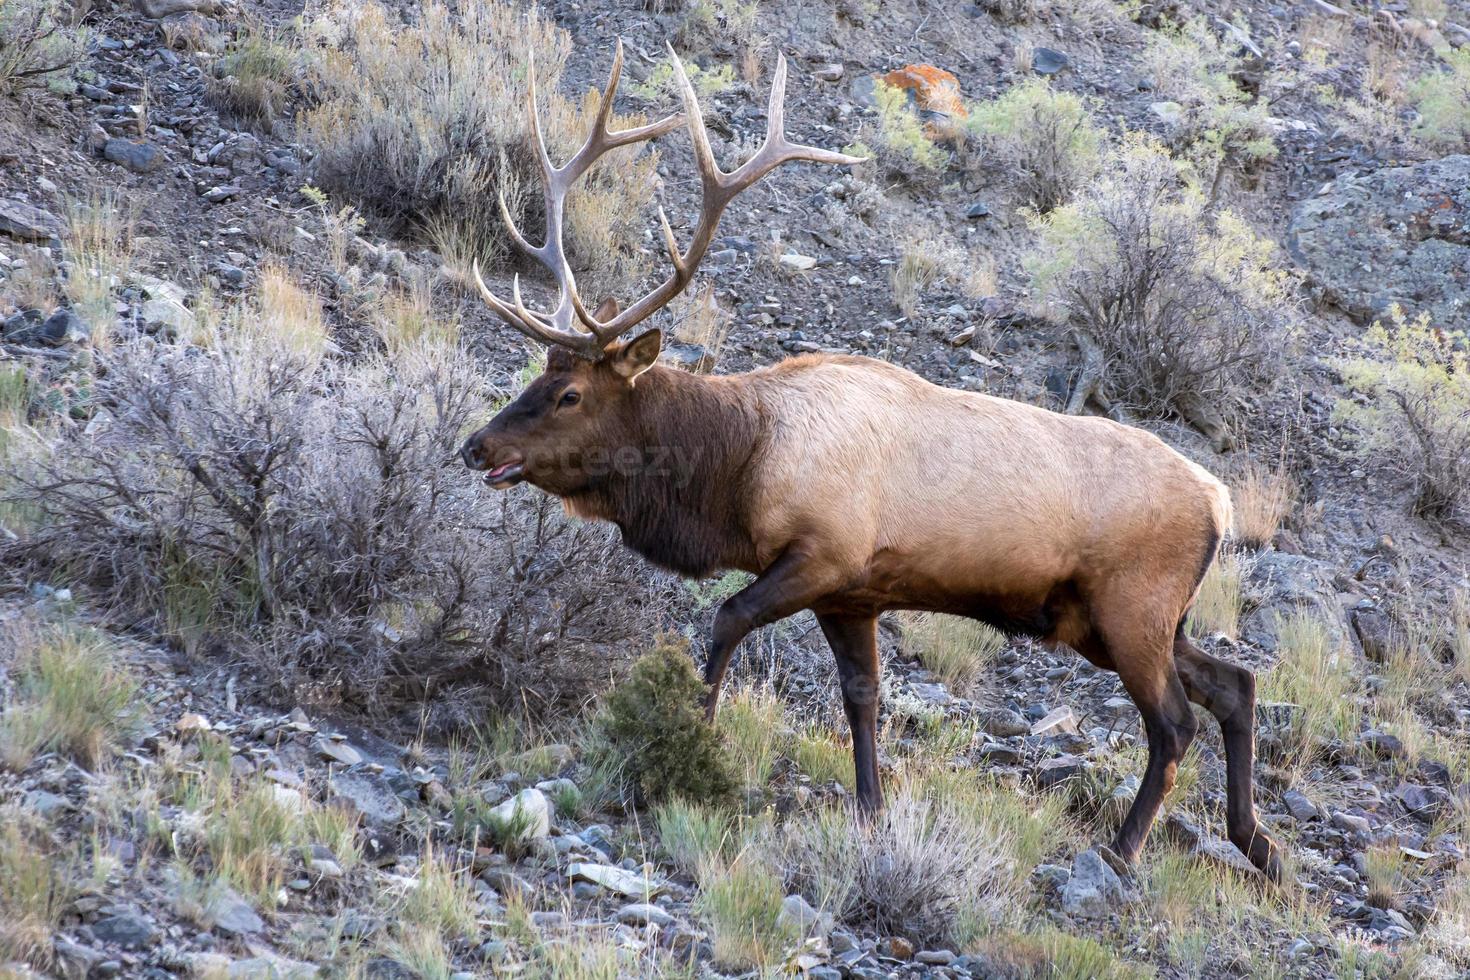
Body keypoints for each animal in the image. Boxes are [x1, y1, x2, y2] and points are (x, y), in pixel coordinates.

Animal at [458, 40, 1275, 881]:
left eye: (569, 394)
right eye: (537, 377)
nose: (476, 444)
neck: (739, 466)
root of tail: (1220, 502)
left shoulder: (822, 553)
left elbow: (725, 620)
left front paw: (687, 742)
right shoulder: (852, 595)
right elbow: (863, 698)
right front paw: (870, 810)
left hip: (1131, 607)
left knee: (1175, 723)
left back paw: (1123, 847)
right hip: (1121, 619)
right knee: (1235, 684)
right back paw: (1260, 846)